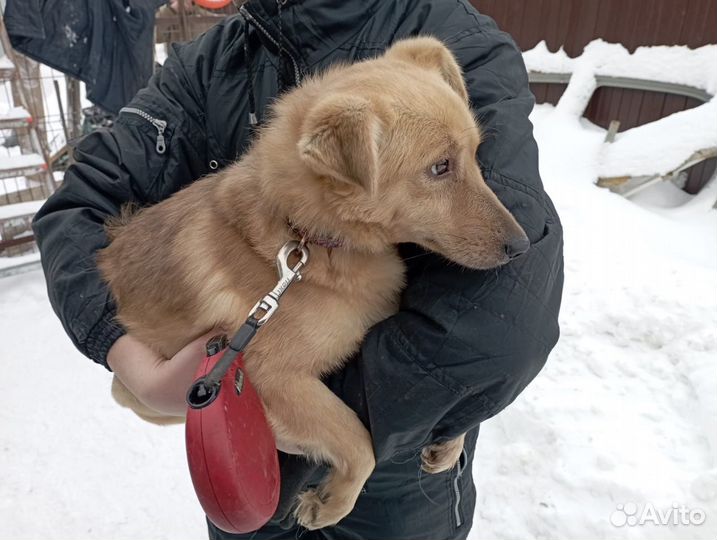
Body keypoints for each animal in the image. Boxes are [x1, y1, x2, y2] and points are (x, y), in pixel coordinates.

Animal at [98, 37, 528, 528]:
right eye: (439, 167)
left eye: (476, 154)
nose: (523, 245)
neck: (310, 240)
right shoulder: (275, 376)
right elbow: (358, 441)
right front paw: (333, 502)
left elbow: (452, 402)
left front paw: (451, 439)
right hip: (132, 390)